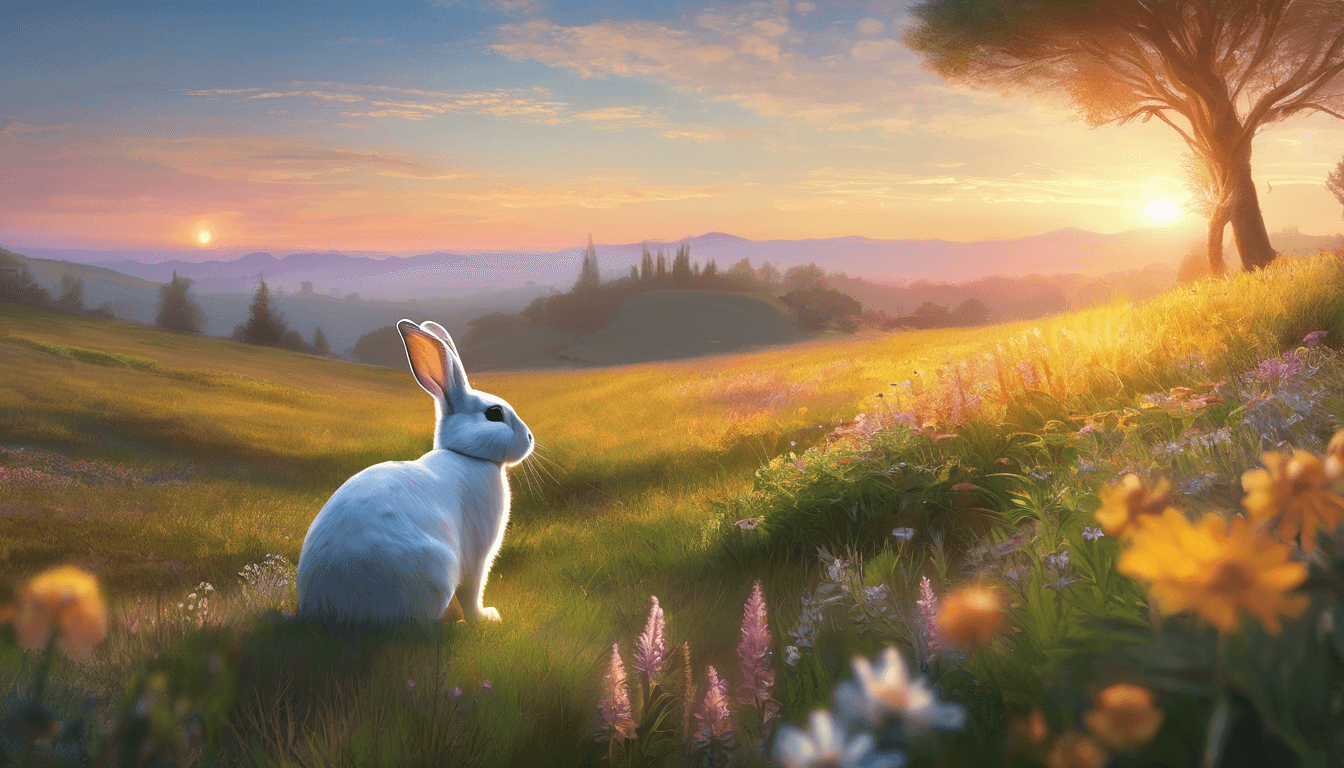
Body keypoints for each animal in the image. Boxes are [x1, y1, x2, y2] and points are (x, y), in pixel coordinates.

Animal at [296, 319, 533, 626]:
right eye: (494, 414)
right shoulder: (477, 557)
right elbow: (472, 591)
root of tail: (332, 611)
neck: (465, 454)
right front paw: (486, 617)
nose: (529, 438)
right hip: (439, 570)